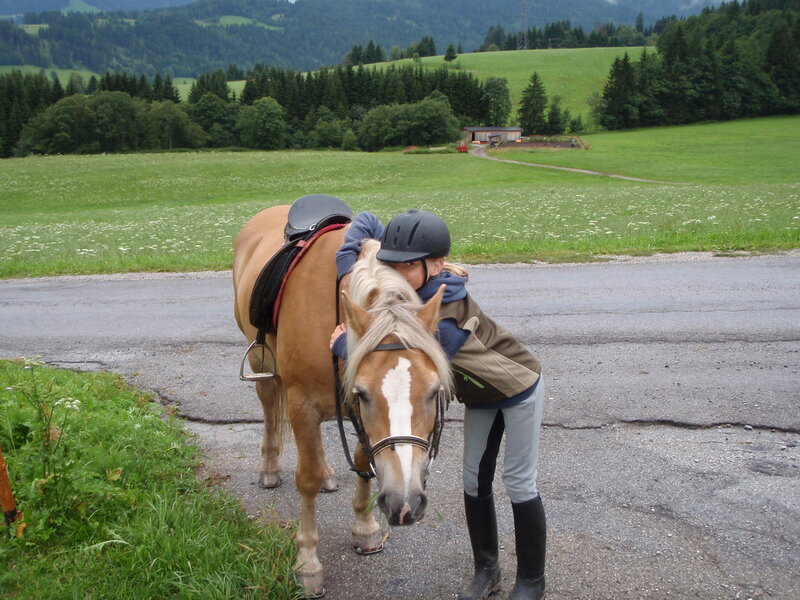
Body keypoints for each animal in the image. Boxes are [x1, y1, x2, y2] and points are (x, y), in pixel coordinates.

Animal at [232, 205, 453, 597]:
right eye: (365, 393)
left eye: (432, 391)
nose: (405, 504)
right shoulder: (305, 401)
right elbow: (305, 478)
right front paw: (307, 562)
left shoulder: (349, 410)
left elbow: (364, 462)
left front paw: (365, 529)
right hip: (263, 366)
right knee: (270, 408)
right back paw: (270, 468)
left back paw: (328, 474)